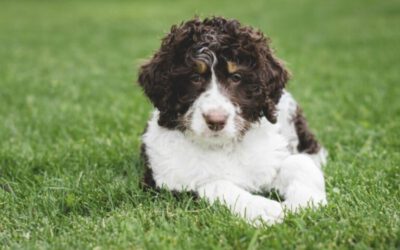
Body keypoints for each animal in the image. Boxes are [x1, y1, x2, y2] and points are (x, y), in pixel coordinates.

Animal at [138, 16, 328, 226]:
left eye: (236, 77)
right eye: (194, 78)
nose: (216, 120)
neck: (222, 147)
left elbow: (299, 162)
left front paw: (306, 201)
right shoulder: (165, 185)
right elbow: (216, 184)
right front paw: (264, 209)